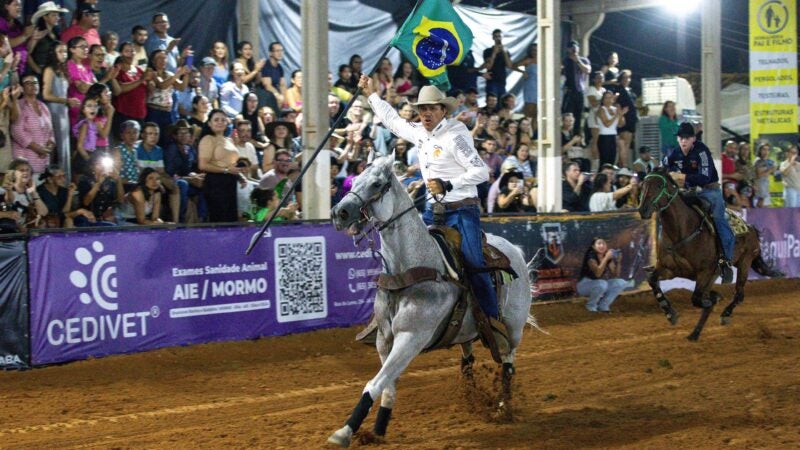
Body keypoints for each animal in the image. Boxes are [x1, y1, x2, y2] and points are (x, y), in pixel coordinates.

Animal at [328, 155, 534, 447]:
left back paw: (503, 407)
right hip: (467, 330)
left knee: (508, 362)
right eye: (354, 180)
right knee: (467, 359)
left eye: (377, 183)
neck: (409, 268)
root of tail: (514, 251)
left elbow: (375, 383)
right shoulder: (384, 340)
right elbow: (388, 386)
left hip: (513, 328)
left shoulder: (411, 337)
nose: (339, 213)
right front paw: (378, 429)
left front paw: (345, 431)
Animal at [638, 167, 779, 341]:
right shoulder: (668, 269)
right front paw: (670, 313)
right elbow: (652, 280)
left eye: (659, 185)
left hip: (744, 263)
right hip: (716, 273)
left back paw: (724, 314)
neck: (682, 230)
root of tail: (750, 227)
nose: (643, 209)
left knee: (738, 294)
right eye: (643, 185)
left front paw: (713, 299)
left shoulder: (704, 271)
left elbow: (697, 299)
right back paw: (695, 333)